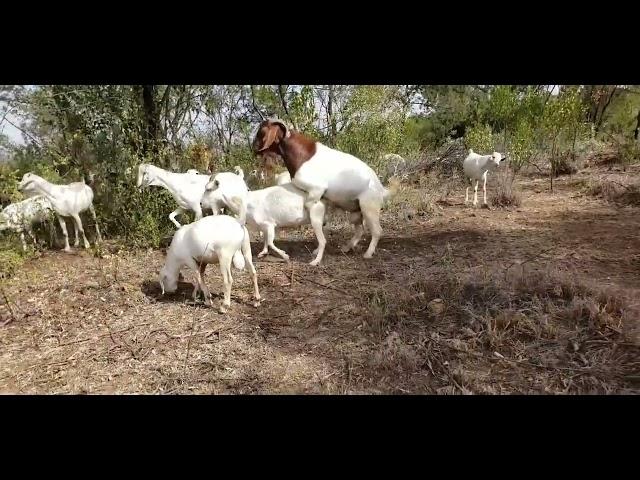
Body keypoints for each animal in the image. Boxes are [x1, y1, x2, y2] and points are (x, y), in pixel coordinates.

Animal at [201, 169, 330, 266]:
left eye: (208, 189)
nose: (201, 203)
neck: (246, 201)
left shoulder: (269, 224)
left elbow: (271, 242)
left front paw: (285, 255)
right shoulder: (264, 226)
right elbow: (266, 239)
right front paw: (263, 252)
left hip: (316, 217)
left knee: (323, 240)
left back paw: (315, 261)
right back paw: (315, 251)